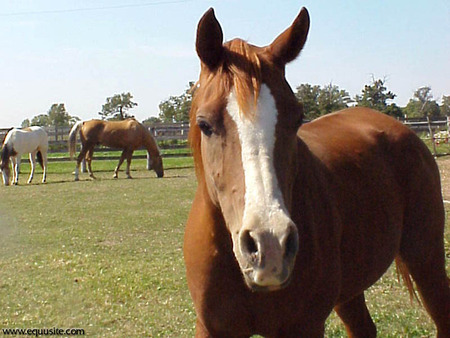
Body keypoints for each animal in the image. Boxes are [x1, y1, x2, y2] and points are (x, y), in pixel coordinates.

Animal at [184, 6, 450, 336]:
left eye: (297, 118)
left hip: (426, 258)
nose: (270, 244)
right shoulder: (211, 328)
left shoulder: (305, 326)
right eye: (205, 124)